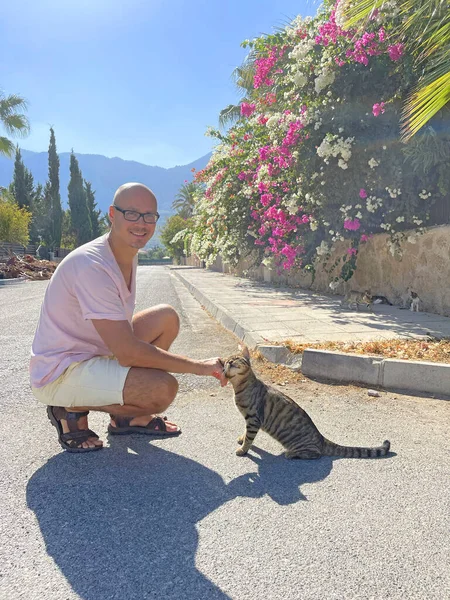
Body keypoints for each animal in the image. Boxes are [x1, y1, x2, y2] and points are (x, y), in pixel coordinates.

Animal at [221, 344, 390, 462]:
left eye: (236, 359)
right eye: (227, 361)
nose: (228, 362)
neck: (239, 387)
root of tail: (321, 438)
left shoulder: (253, 419)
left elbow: (249, 439)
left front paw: (243, 450)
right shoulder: (249, 420)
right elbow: (246, 433)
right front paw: (242, 439)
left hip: (301, 445)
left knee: (315, 454)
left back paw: (291, 454)